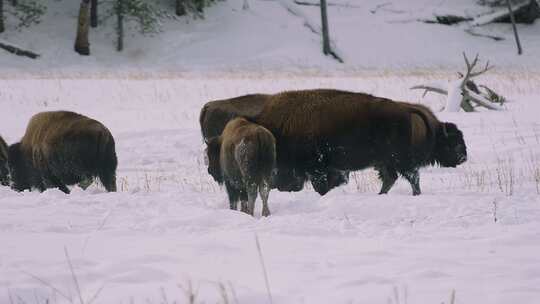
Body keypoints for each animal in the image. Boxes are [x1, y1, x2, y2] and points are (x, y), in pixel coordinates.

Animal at [255, 89, 466, 196]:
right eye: (454, 142)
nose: (463, 157)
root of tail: (406, 111)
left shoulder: (317, 168)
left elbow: (321, 185)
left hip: (397, 159)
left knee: (411, 177)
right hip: (386, 161)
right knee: (393, 178)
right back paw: (382, 195)